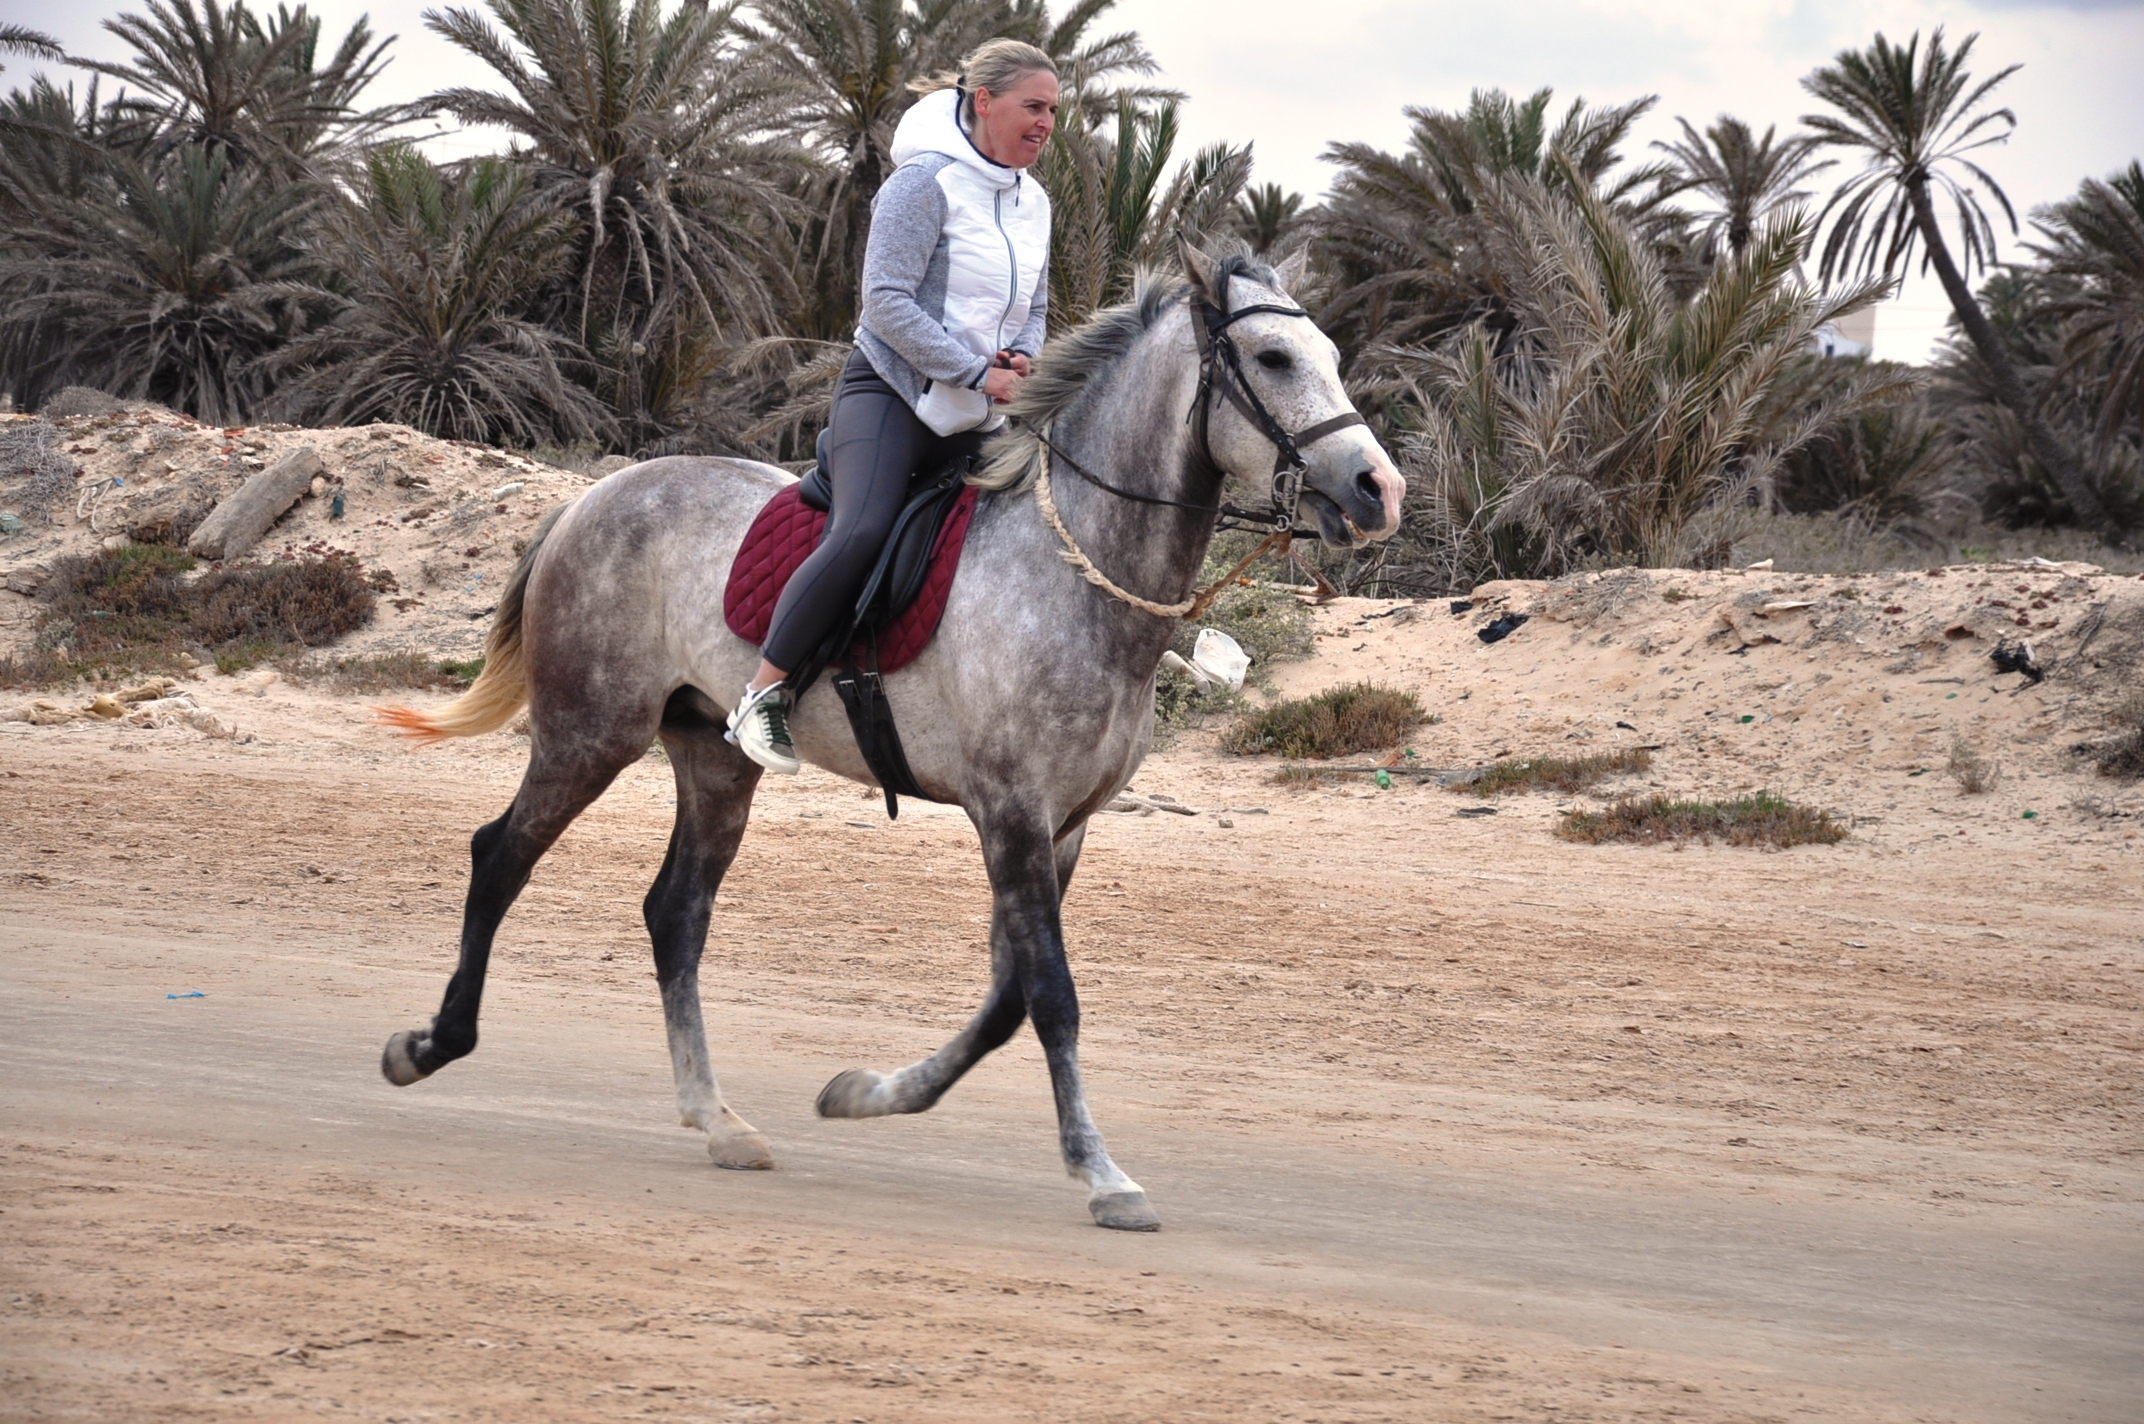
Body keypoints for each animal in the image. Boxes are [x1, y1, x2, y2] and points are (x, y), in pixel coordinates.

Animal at [375, 245, 1405, 1231]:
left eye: (1330, 356)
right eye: (1272, 359)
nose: (1377, 488)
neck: (1076, 572)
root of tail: (595, 497)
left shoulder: (1064, 825)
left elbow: (1006, 1001)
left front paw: (868, 1093)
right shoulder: (1012, 814)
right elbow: (1051, 995)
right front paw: (1101, 1174)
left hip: (713, 761)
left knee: (675, 914)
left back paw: (718, 1120)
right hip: (589, 734)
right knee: (501, 856)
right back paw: (430, 1045)